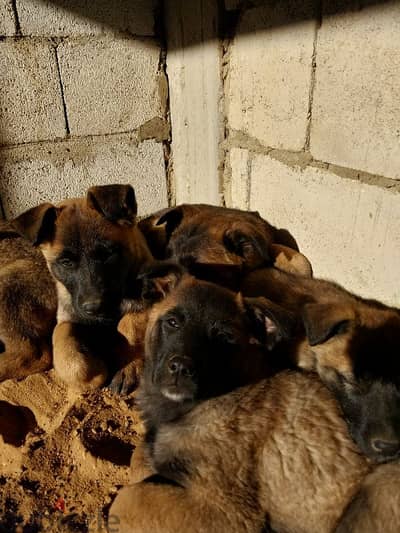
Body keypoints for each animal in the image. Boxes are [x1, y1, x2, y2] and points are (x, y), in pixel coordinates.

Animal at [12, 184, 153, 390]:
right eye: (66, 262)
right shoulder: (67, 319)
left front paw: (129, 366)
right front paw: (95, 370)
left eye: (108, 254)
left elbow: (130, 326)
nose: (94, 307)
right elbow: (68, 355)